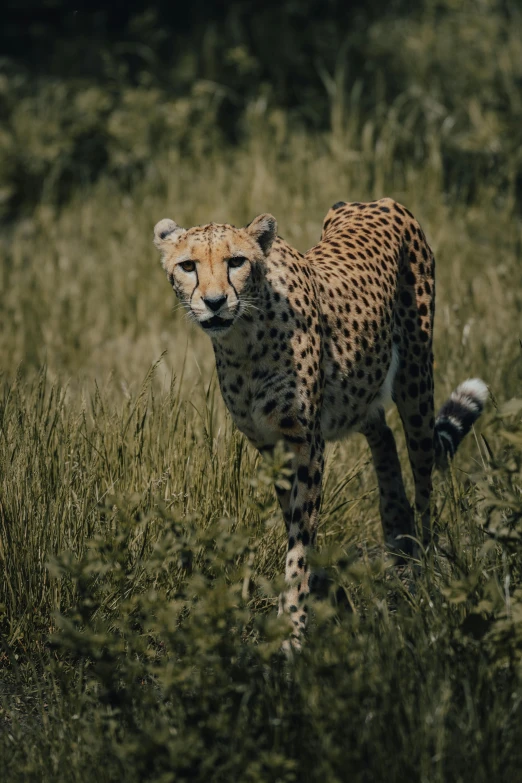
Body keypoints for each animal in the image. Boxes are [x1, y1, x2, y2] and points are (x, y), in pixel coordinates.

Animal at [152, 199, 486, 648]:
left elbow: (300, 536)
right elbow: (294, 525)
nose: (215, 302)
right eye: (188, 266)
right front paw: (315, 597)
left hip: (416, 380)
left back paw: (423, 569)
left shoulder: (306, 445)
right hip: (361, 389)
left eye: (236, 261)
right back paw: (397, 542)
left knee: (424, 477)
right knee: (383, 437)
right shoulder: (273, 447)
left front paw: (292, 626)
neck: (244, 340)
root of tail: (379, 202)